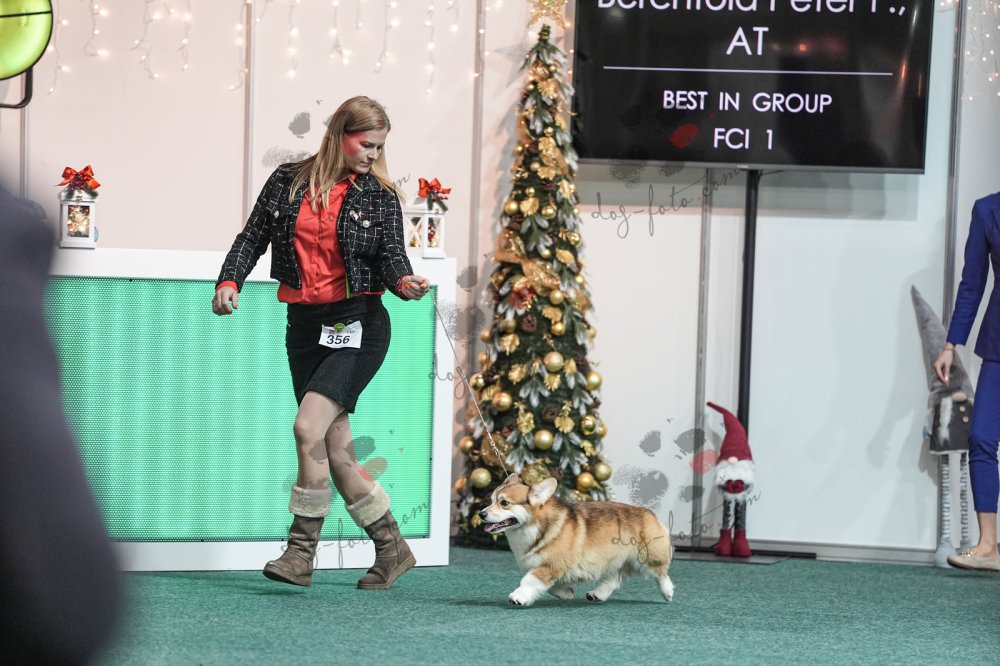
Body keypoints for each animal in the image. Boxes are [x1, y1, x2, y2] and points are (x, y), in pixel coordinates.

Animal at [479, 474, 675, 606]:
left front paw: (518, 596)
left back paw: (668, 592)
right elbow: (551, 586)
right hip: (613, 560)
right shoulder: (547, 568)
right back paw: (597, 594)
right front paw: (567, 593)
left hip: (649, 556)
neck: (535, 527)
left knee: (661, 574)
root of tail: (650, 513)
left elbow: (528, 581)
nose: (481, 514)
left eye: (504, 503)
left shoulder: (549, 565)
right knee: (613, 580)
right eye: (491, 500)